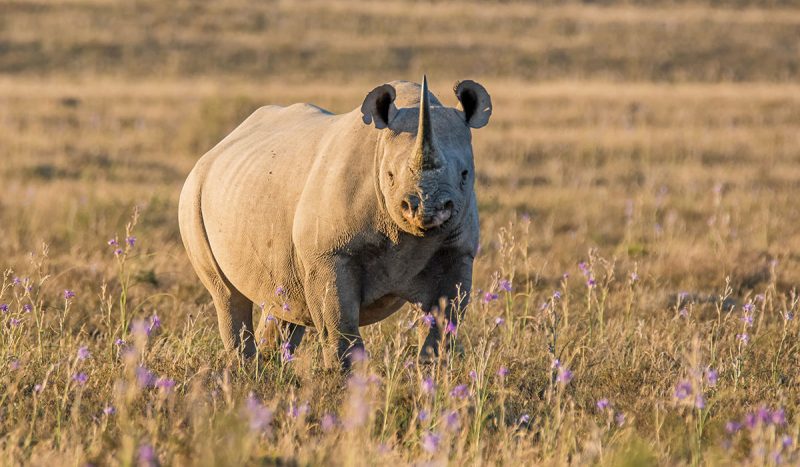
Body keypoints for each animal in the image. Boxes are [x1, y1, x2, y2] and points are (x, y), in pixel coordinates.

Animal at [178, 77, 491, 369]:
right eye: (389, 175)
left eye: (465, 175)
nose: (427, 210)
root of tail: (216, 148)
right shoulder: (329, 254)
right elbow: (339, 326)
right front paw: (345, 380)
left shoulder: (457, 251)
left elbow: (443, 324)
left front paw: (433, 373)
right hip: (193, 193)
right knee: (227, 295)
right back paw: (245, 370)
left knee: (284, 299)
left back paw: (268, 367)